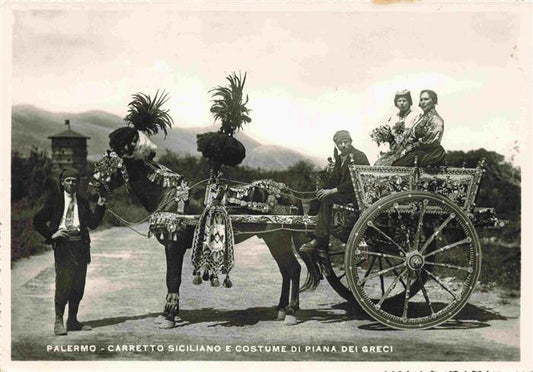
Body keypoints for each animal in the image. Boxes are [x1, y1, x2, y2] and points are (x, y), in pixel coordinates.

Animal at [90, 129, 320, 326]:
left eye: (106, 166)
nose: (92, 193)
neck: (168, 194)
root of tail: (289, 193)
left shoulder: (174, 246)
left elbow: (172, 278)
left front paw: (169, 316)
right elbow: (172, 279)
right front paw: (169, 312)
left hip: (278, 239)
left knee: (293, 269)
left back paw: (291, 312)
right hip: (272, 239)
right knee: (286, 271)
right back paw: (281, 309)